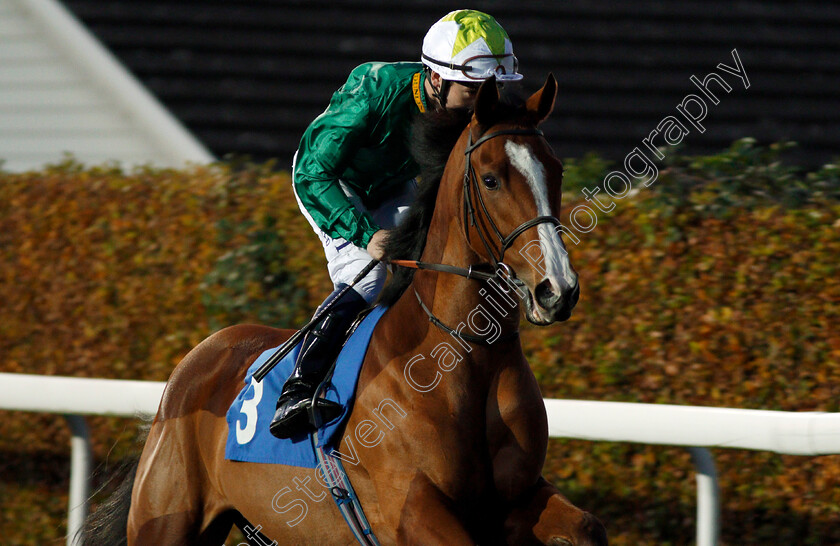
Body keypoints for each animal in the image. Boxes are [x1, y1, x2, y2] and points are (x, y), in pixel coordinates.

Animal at [83, 73, 604, 544]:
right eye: (492, 179)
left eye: (556, 171)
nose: (556, 289)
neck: (466, 355)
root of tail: (190, 367)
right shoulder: (410, 508)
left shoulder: (516, 499)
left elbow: (586, 526)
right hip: (166, 519)